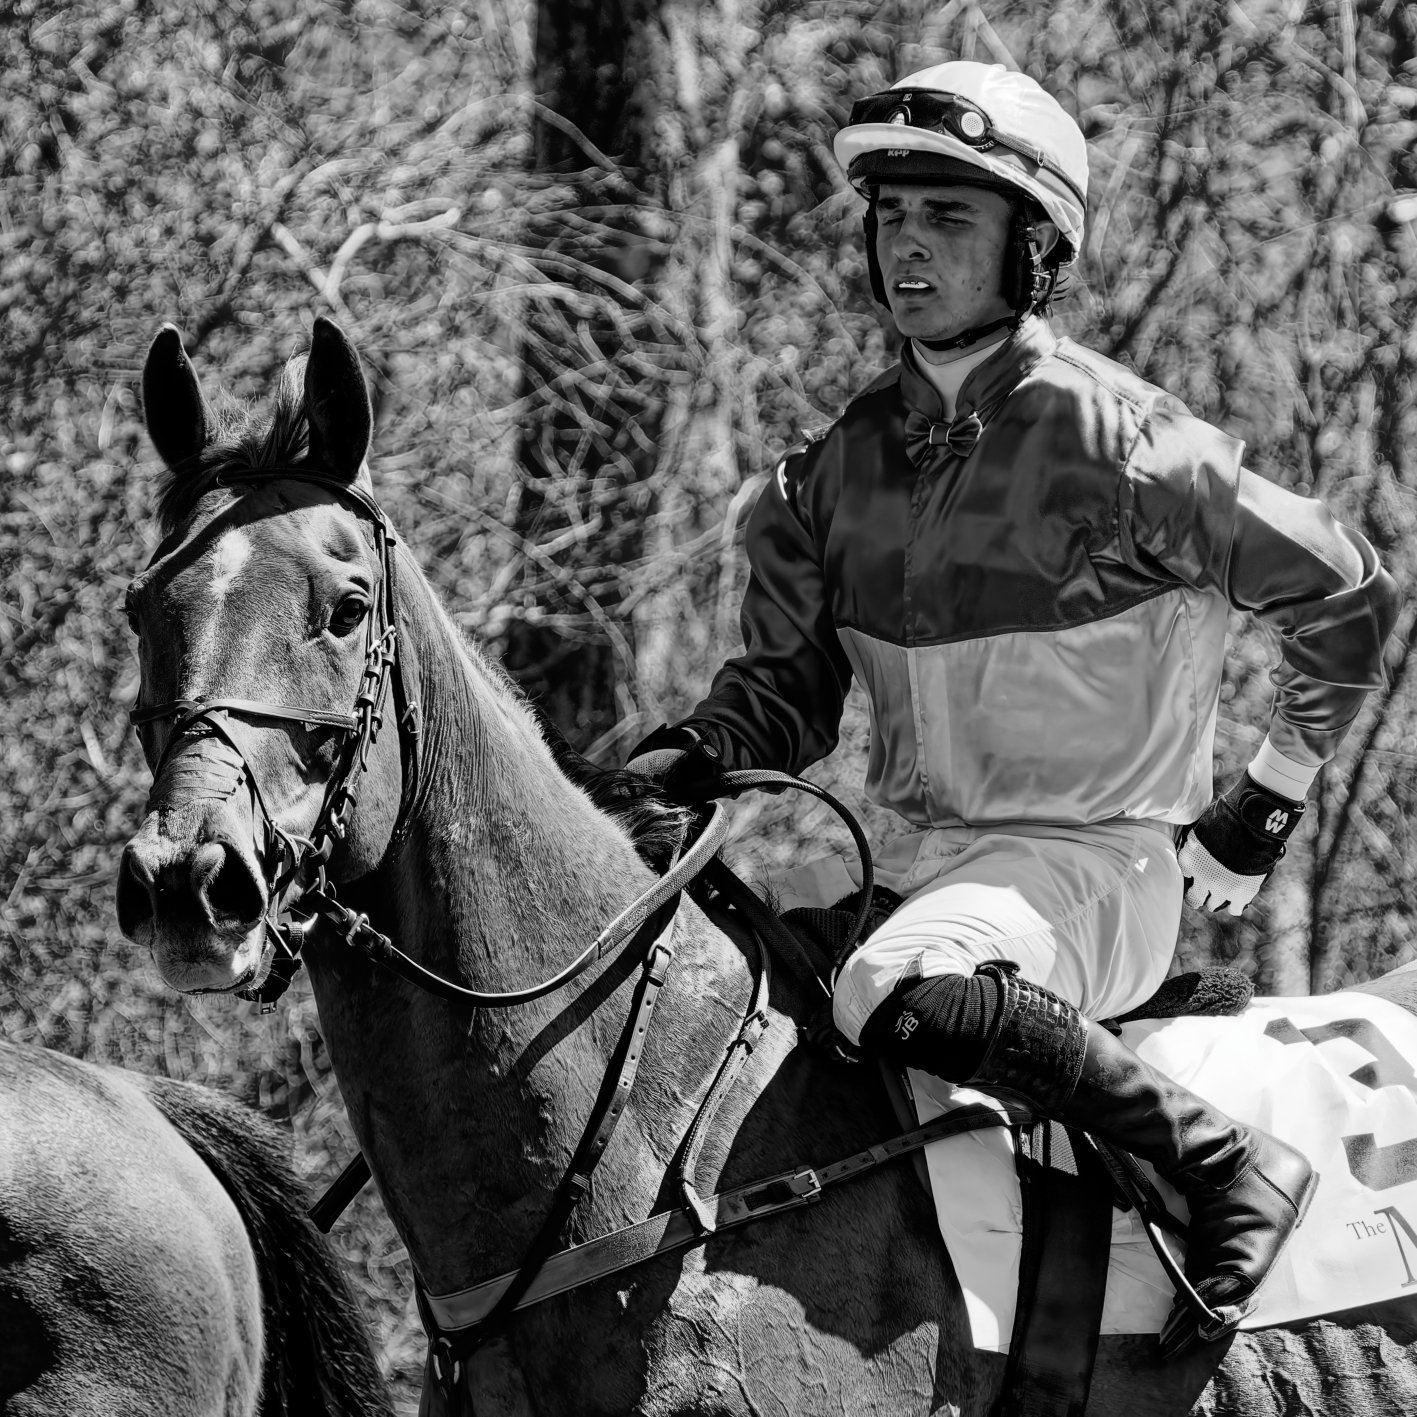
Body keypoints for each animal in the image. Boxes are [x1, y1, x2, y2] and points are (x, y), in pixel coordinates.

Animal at [115, 313, 1417, 1416]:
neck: (649, 1135)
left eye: (343, 608)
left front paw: (1242, 836)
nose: (187, 882)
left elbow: (1339, 576)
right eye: (141, 607)